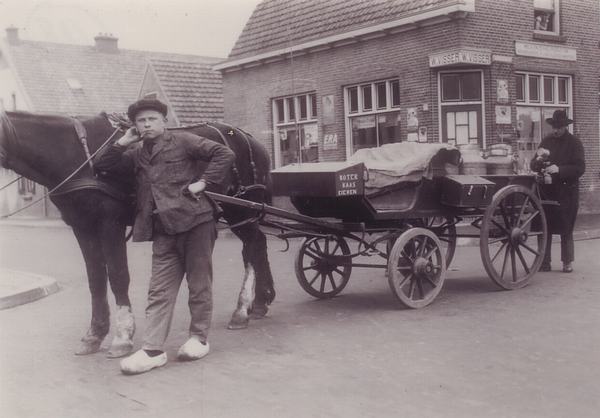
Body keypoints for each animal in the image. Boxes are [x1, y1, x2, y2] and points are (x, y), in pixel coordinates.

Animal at [0, 110, 276, 357]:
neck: (78, 155)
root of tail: (254, 142)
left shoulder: (109, 223)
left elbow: (118, 275)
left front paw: (122, 337)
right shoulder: (82, 227)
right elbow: (95, 279)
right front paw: (94, 335)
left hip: (241, 210)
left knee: (252, 247)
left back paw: (241, 311)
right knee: (258, 245)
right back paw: (261, 303)